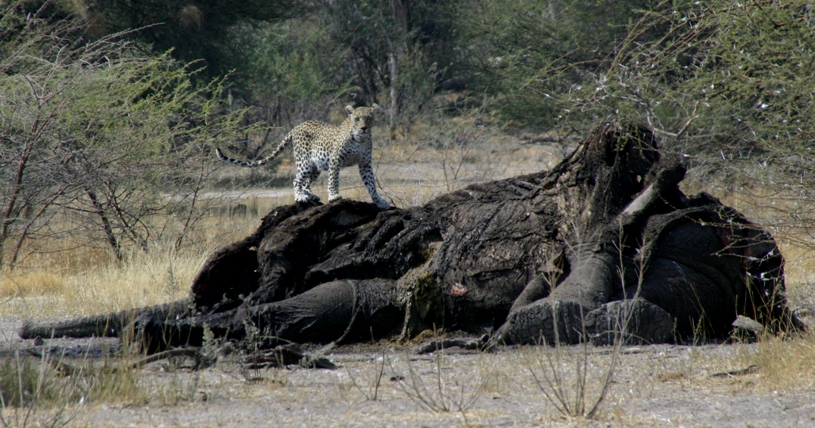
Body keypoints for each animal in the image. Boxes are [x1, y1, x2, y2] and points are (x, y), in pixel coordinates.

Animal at [217, 104, 392, 211]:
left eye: (369, 118)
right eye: (356, 119)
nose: (363, 128)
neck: (360, 139)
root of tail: (297, 126)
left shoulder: (365, 164)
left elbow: (371, 184)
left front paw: (379, 201)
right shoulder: (335, 159)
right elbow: (333, 179)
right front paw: (334, 196)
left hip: (315, 167)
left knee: (306, 183)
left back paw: (310, 195)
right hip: (305, 163)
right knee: (297, 180)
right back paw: (300, 197)